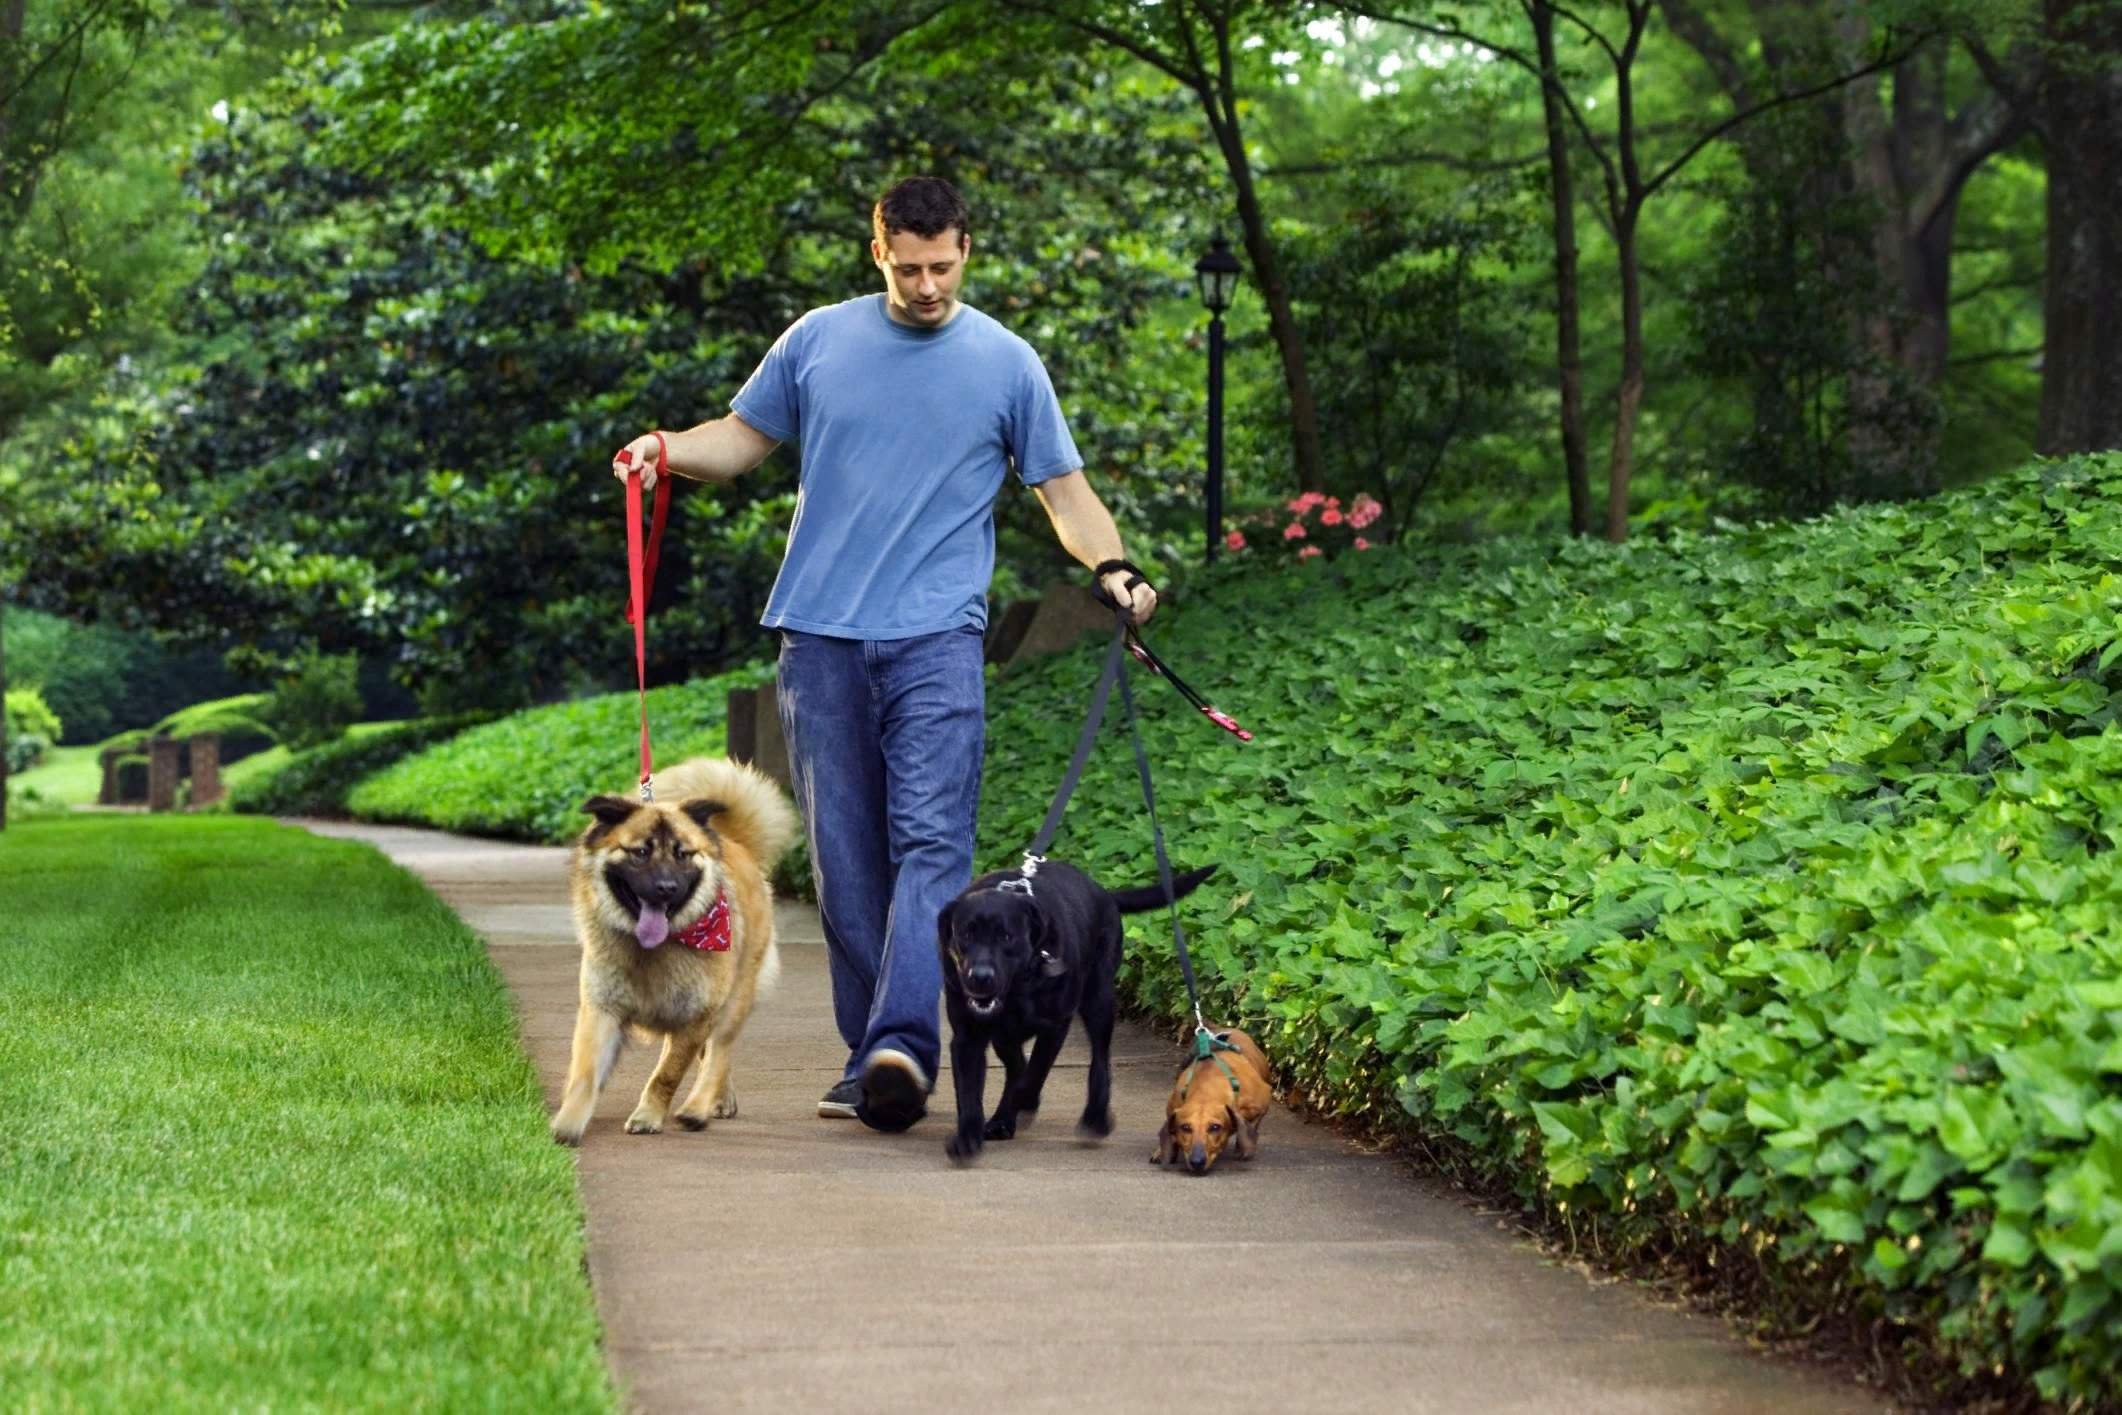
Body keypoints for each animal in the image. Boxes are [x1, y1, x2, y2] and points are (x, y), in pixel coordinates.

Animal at [551, 759, 797, 1145]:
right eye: (640, 852)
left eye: (683, 854)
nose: (666, 888)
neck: (653, 950)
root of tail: (737, 843)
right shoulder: (602, 1008)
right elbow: (586, 1073)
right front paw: (569, 1122)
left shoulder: (696, 1016)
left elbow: (667, 1075)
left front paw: (648, 1116)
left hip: (734, 999)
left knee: (719, 1053)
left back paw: (698, 1107)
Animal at [942, 857, 1222, 1171]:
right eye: (966, 934)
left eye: (1006, 936)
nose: (979, 977)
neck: (1019, 988)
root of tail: (1105, 893)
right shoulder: (967, 1037)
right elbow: (970, 1092)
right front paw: (968, 1138)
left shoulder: (1055, 1026)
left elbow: (1035, 1073)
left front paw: (1024, 1102)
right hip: (1009, 1034)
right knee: (1016, 1064)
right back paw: (1004, 1119)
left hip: (1099, 1001)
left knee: (1099, 1060)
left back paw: (1095, 1118)